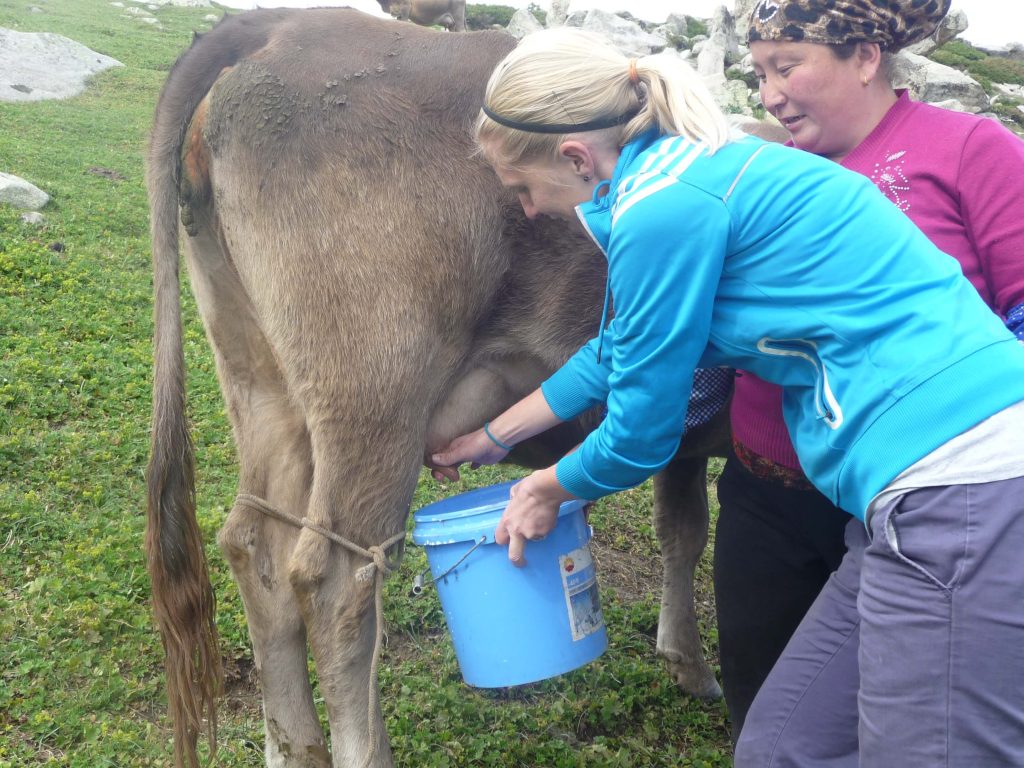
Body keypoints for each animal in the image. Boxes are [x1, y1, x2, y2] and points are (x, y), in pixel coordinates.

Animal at [146, 8, 734, 767]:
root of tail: (282, 24)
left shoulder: (684, 436)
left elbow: (683, 529)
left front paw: (686, 661)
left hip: (260, 378)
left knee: (256, 547)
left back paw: (293, 745)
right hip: (376, 390)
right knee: (336, 583)